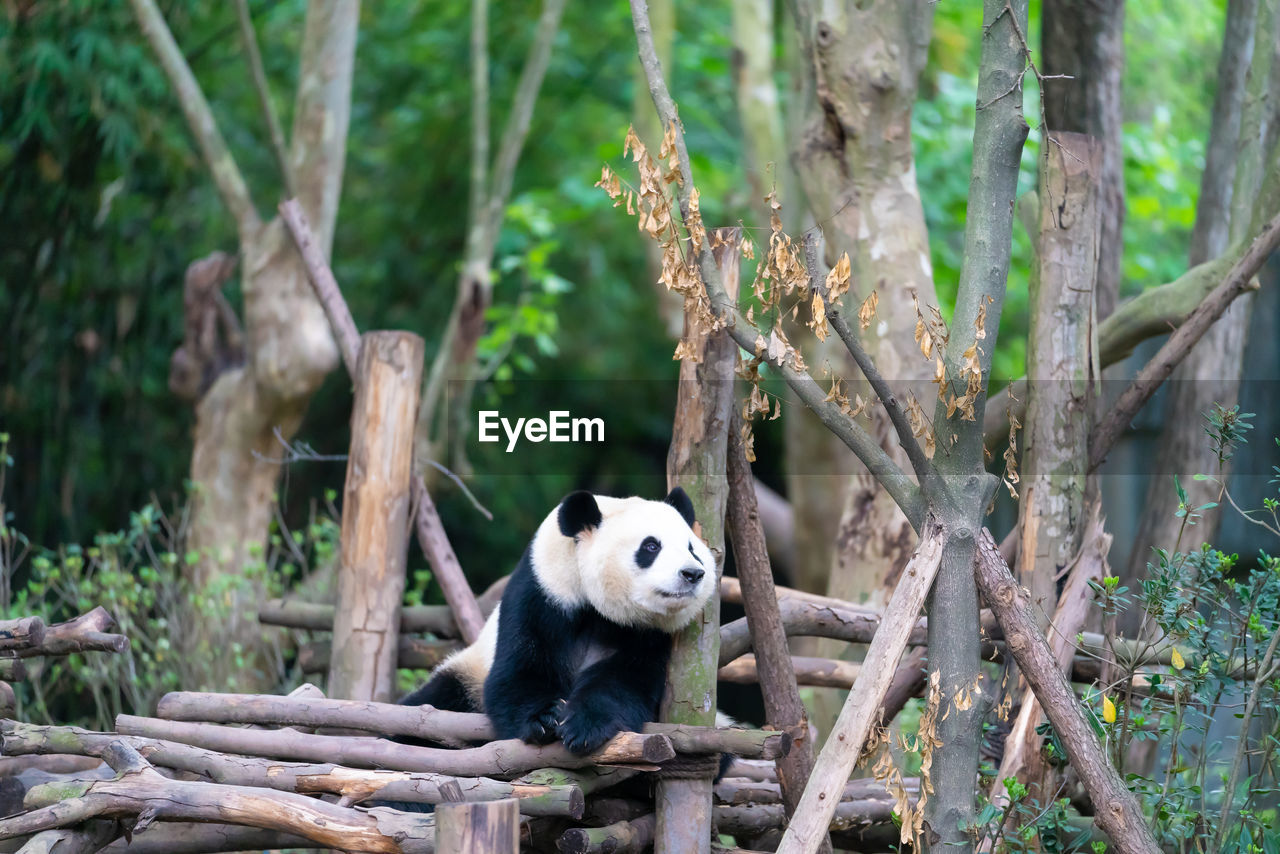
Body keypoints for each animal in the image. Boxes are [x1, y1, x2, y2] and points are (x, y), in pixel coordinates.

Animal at [401, 486, 721, 752]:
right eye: (651, 546)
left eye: (692, 548)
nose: (692, 573)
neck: (599, 609)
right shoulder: (542, 591)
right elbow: (519, 670)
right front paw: (545, 719)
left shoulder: (648, 633)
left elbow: (623, 680)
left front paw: (584, 726)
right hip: (466, 678)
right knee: (428, 710)